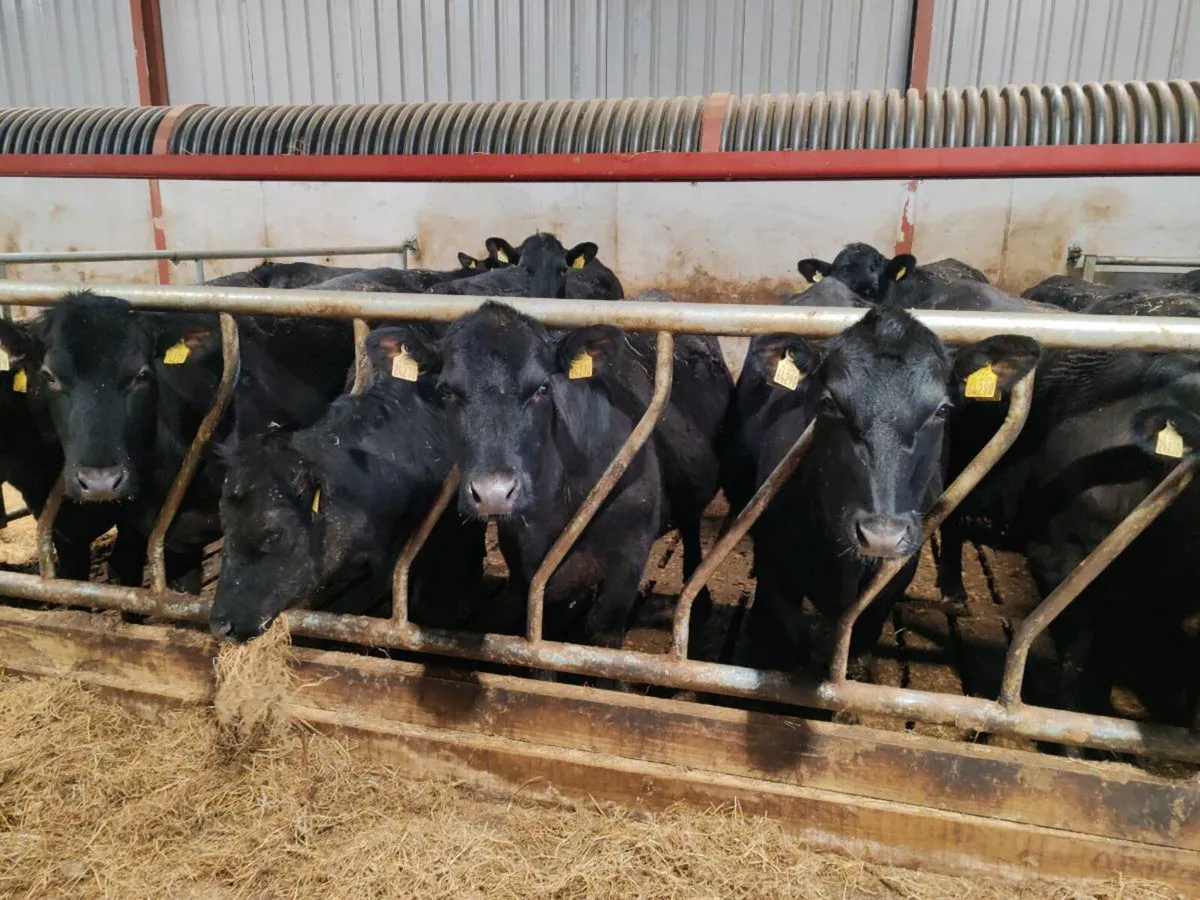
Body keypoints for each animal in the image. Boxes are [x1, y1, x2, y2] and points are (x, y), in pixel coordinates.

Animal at [396, 300, 729, 650]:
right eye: (447, 390)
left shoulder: (628, 558)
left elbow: (603, 633)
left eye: (543, 387)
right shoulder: (525, 562)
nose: (493, 493)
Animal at [731, 306, 1039, 678]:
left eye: (942, 409)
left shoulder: (892, 581)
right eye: (829, 403)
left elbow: (858, 645)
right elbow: (792, 635)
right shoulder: (775, 566)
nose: (882, 535)